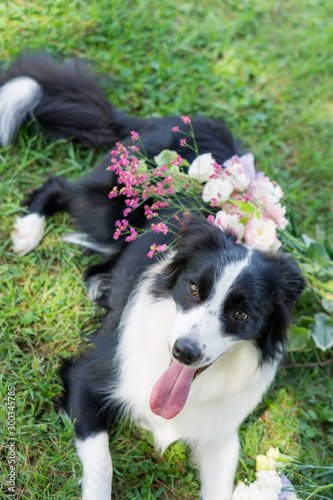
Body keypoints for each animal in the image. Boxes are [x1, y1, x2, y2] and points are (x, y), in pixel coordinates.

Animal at [1, 55, 304, 500]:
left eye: (242, 315)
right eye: (193, 288)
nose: (184, 353)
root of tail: (166, 120)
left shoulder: (221, 433)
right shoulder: (87, 378)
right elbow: (102, 466)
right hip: (111, 211)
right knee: (60, 187)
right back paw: (28, 230)